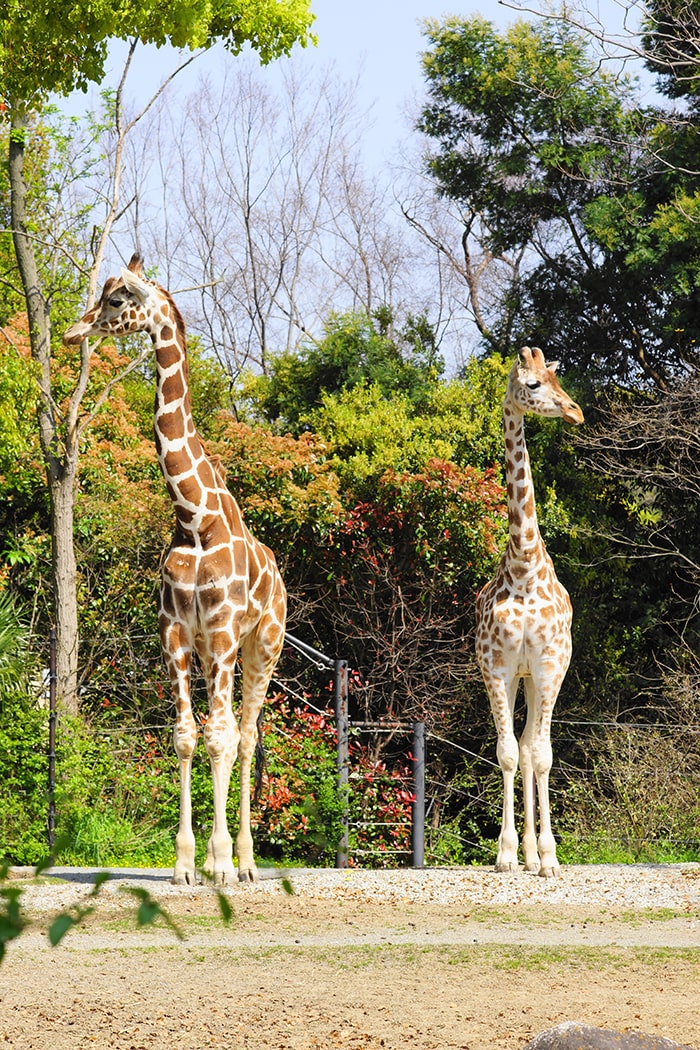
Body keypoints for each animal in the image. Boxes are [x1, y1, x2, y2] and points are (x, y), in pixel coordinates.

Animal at [63, 254, 287, 886]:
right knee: (229, 733)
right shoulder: (178, 635)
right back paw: (221, 861)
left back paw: (245, 862)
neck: (193, 516)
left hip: (262, 646)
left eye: (118, 299)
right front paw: (187, 864)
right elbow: (188, 738)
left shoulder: (224, 633)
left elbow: (221, 739)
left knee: (248, 735)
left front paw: (219, 862)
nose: (73, 332)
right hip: (218, 654)